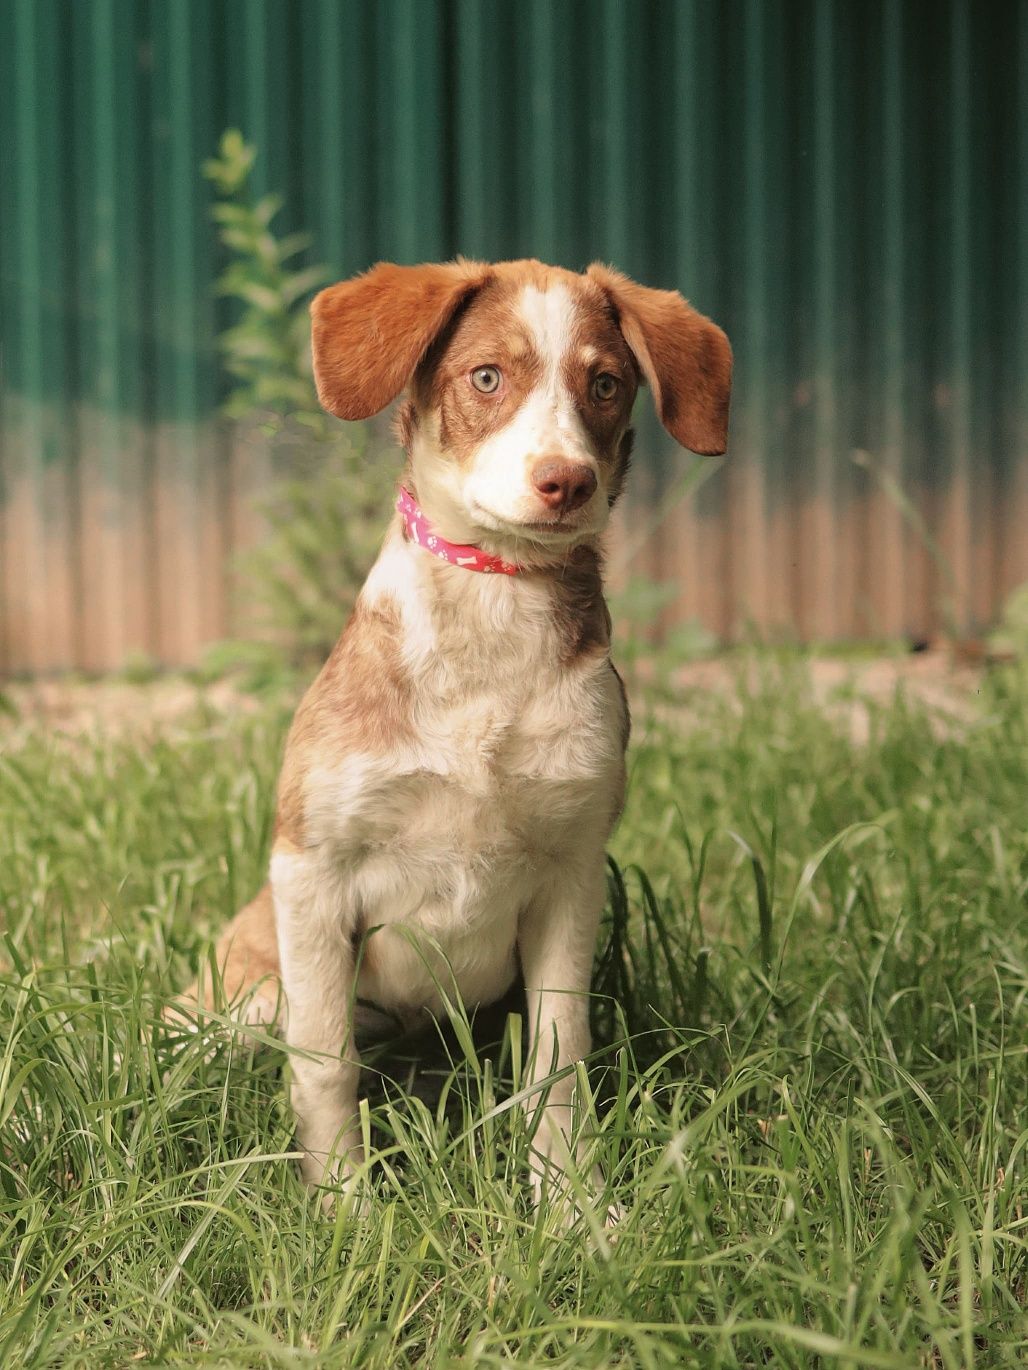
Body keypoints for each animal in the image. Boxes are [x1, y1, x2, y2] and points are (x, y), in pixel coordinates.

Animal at [179, 257, 734, 1211]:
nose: (566, 481)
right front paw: (345, 1211)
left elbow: (557, 1062)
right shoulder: (313, 869)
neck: (493, 605)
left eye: (605, 384)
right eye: (486, 377)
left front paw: (572, 1207)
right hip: (244, 987)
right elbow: (324, 1062)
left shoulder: (570, 875)